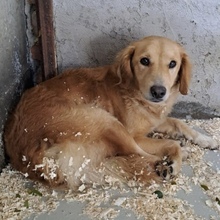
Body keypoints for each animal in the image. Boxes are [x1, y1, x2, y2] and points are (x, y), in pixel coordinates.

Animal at [3, 35, 218, 189]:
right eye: (144, 61)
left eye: (172, 64)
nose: (159, 92)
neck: (132, 91)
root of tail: (33, 157)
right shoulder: (136, 135)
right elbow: (168, 139)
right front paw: (178, 151)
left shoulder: (155, 120)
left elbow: (179, 123)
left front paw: (207, 140)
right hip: (106, 120)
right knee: (137, 152)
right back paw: (170, 161)